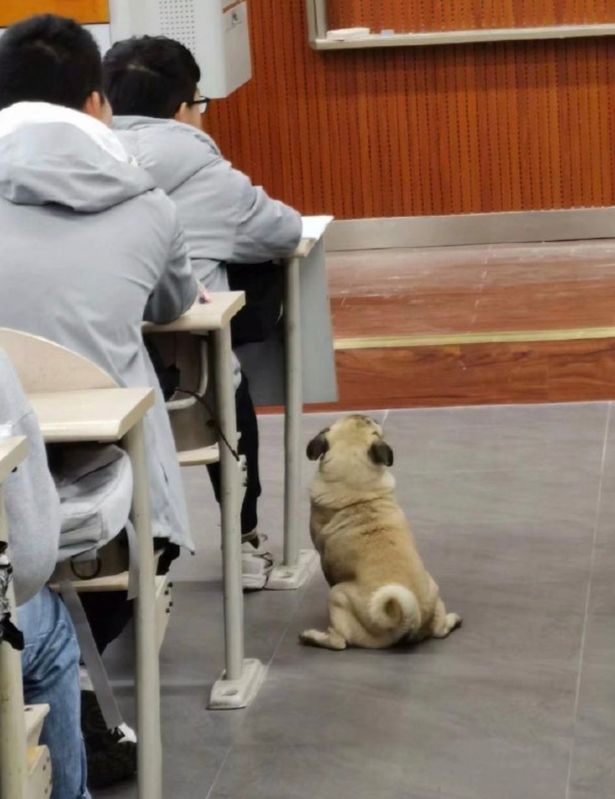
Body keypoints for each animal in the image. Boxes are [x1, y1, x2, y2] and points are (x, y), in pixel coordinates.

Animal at [304, 416, 462, 652]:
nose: (371, 416)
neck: (358, 494)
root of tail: (411, 624)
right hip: (434, 590)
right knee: (440, 630)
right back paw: (452, 620)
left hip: (337, 596)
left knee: (340, 642)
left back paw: (312, 637)